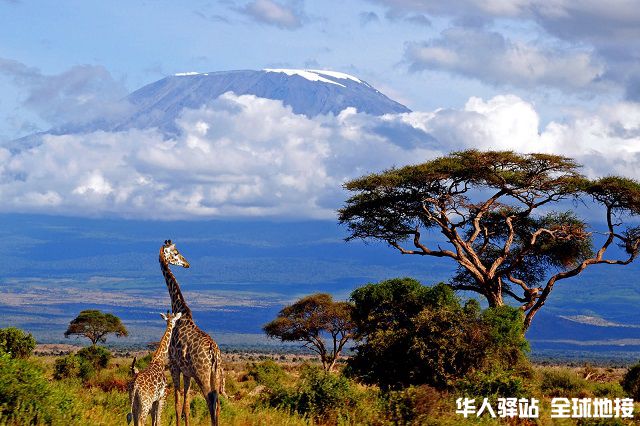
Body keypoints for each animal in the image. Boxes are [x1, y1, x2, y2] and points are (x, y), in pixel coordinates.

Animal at [160, 240, 225, 426]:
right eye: (175, 253)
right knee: (218, 403)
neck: (181, 310)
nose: (187, 264)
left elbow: (177, 403)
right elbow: (186, 406)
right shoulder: (187, 372)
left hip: (202, 374)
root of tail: (213, 352)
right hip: (216, 374)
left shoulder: (174, 366)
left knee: (210, 401)